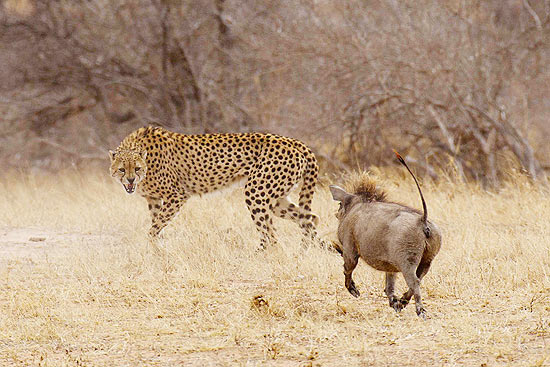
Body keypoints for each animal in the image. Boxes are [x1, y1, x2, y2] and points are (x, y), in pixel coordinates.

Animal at [111, 126, 326, 250]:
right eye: (122, 169)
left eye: (137, 168)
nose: (130, 180)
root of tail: (293, 141)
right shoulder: (154, 199)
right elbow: (157, 224)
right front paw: (158, 250)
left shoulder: (177, 195)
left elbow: (155, 226)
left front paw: (152, 248)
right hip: (276, 199)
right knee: (310, 218)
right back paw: (304, 250)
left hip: (255, 192)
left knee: (272, 235)